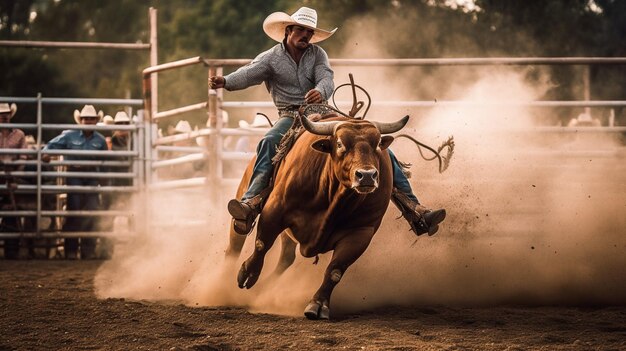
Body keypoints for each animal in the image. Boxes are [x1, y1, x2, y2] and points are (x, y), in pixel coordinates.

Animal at [227, 114, 408, 320]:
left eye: (377, 144)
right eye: (340, 144)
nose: (367, 176)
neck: (333, 196)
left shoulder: (361, 232)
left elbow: (335, 271)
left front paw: (318, 304)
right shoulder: (275, 210)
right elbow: (261, 244)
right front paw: (248, 273)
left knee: (286, 258)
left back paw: (265, 289)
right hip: (242, 200)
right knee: (235, 242)